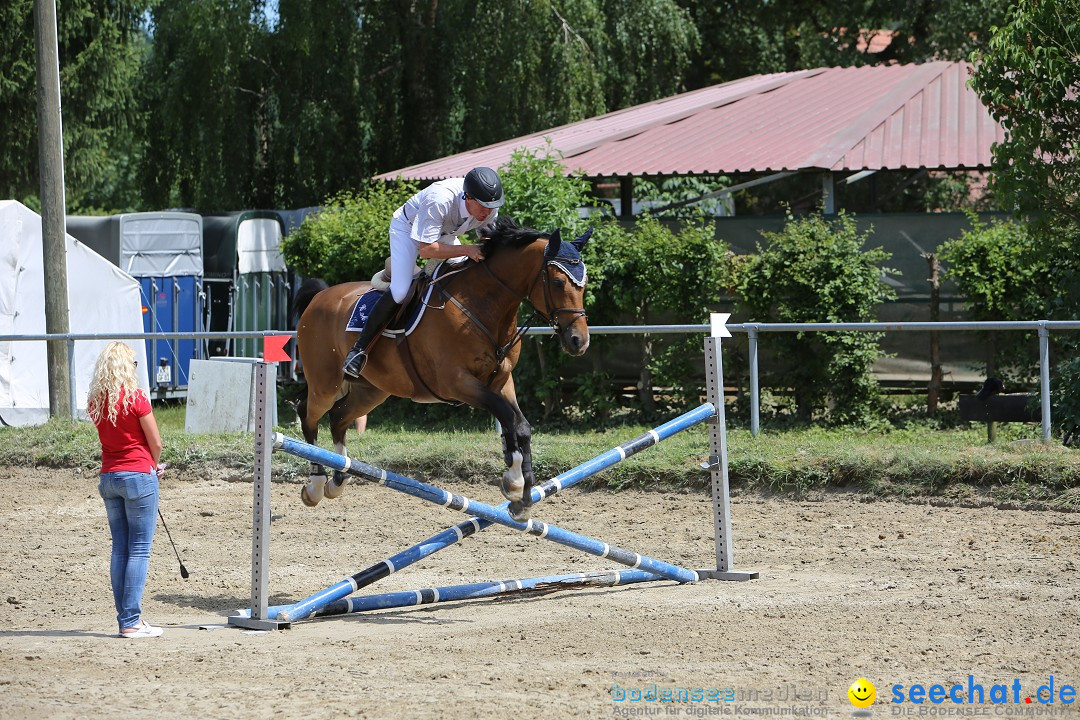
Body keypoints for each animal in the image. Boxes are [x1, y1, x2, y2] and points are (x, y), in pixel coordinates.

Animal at [291, 220, 591, 518]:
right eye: (557, 282)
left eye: (584, 284)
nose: (579, 341)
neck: (481, 305)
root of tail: (320, 296)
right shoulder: (457, 383)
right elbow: (509, 418)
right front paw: (515, 483)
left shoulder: (502, 381)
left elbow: (520, 426)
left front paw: (522, 496)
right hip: (325, 383)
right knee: (308, 415)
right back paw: (316, 485)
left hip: (372, 390)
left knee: (338, 418)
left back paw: (338, 479)